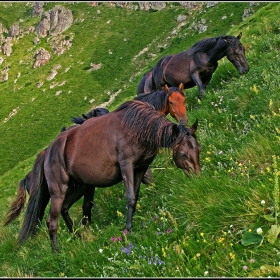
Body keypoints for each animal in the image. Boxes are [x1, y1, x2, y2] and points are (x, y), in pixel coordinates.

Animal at [5, 100, 200, 252]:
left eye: (198, 149)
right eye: (183, 154)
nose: (198, 177)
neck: (136, 127)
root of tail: (48, 151)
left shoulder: (140, 169)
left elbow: (135, 196)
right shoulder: (126, 166)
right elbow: (130, 198)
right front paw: (128, 229)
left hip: (80, 186)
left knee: (65, 208)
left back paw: (78, 237)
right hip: (58, 191)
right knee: (51, 221)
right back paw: (57, 252)